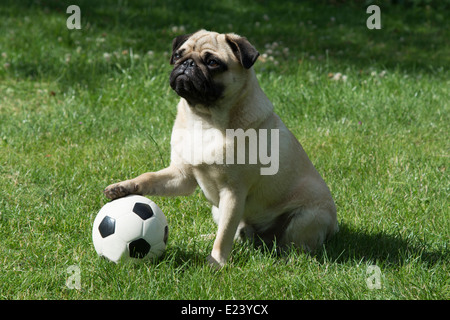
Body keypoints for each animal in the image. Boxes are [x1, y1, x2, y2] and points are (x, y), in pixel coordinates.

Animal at [104, 30, 338, 268]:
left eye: (213, 63)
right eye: (178, 55)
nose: (187, 63)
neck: (204, 120)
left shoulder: (233, 192)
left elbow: (224, 235)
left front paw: (215, 262)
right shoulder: (181, 176)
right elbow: (149, 177)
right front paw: (123, 187)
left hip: (308, 217)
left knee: (292, 245)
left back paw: (287, 259)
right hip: (218, 211)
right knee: (237, 235)